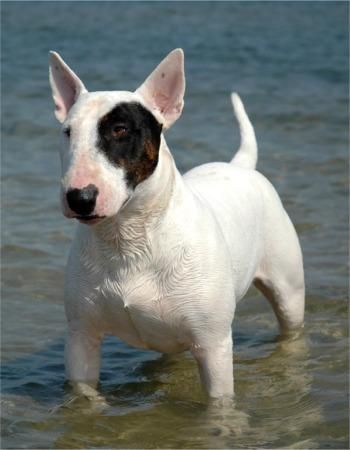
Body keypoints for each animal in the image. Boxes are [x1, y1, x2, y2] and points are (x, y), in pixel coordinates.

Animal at [48, 48, 304, 398]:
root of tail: (240, 165)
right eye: (67, 132)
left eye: (120, 130)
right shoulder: (81, 338)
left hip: (288, 290)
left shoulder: (213, 345)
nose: (79, 198)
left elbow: (219, 402)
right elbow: (83, 394)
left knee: (291, 325)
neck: (128, 237)